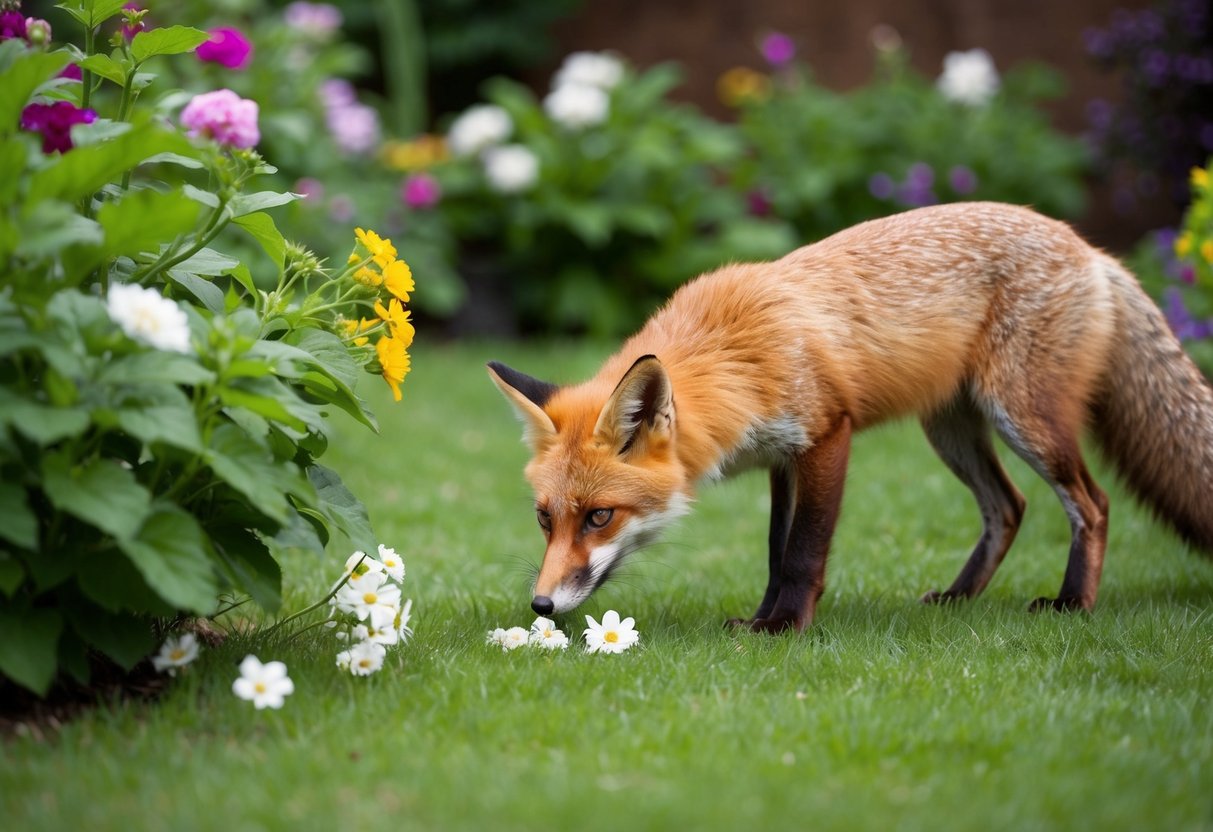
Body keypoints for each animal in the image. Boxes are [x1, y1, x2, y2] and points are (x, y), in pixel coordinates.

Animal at [488, 202, 1213, 633]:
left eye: (599, 517)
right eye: (544, 519)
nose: (540, 606)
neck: (733, 353)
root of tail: (1091, 250)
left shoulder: (825, 435)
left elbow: (804, 550)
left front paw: (783, 628)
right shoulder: (781, 458)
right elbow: (775, 551)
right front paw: (760, 618)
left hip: (1025, 419)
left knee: (1091, 503)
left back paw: (1071, 603)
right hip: (951, 429)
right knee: (1008, 507)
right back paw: (960, 599)